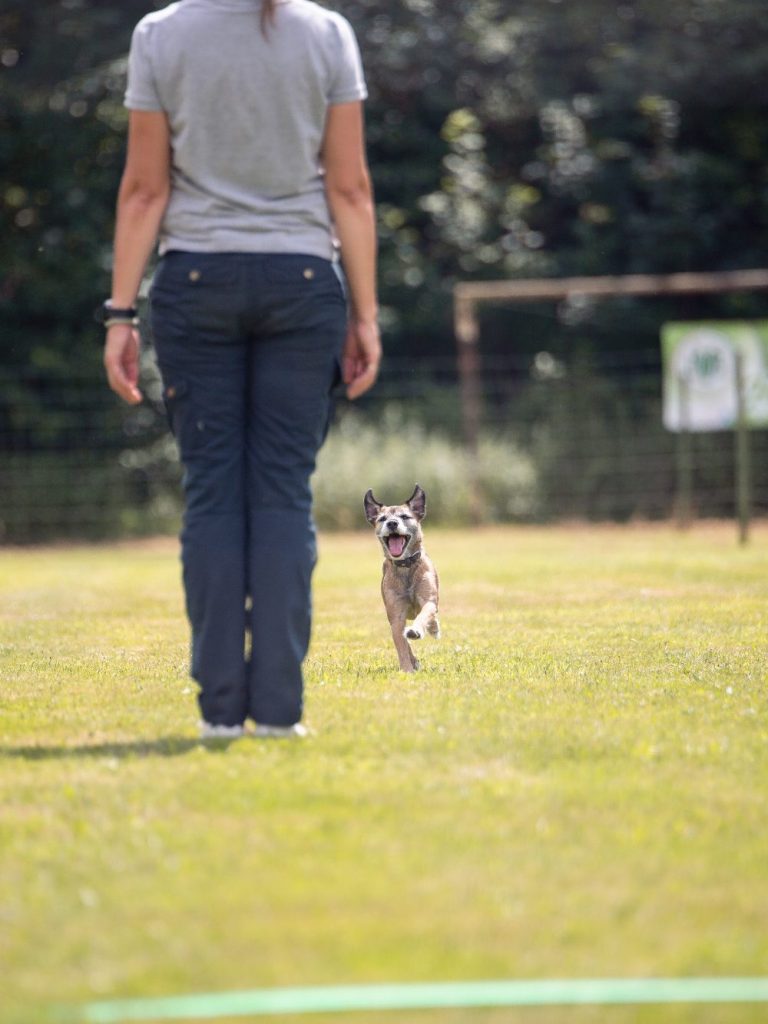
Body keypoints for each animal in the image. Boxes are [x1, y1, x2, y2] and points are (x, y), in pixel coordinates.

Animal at [364, 484, 440, 672]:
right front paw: (407, 669)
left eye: (405, 516)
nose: (392, 523)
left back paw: (433, 629)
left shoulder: (428, 599)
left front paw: (417, 630)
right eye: (382, 519)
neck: (406, 566)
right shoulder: (396, 614)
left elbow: (425, 613)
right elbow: (401, 644)